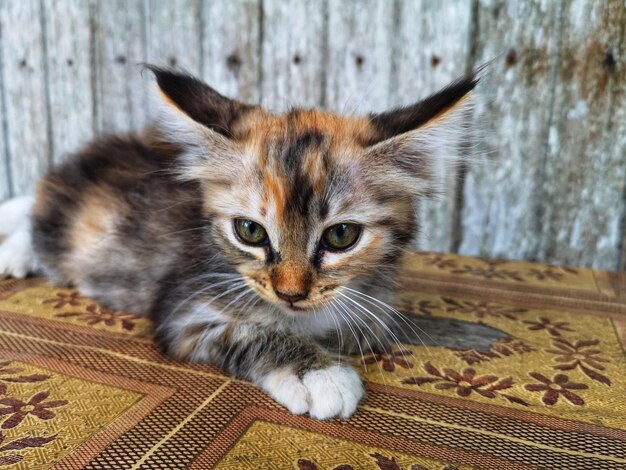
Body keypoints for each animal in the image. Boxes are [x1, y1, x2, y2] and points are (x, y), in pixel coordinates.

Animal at [0, 65, 478, 418]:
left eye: (342, 236)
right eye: (250, 232)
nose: (291, 292)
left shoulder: (372, 303)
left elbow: (366, 324)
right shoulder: (186, 309)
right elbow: (256, 330)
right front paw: (320, 374)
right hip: (62, 234)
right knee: (34, 220)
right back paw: (14, 253)